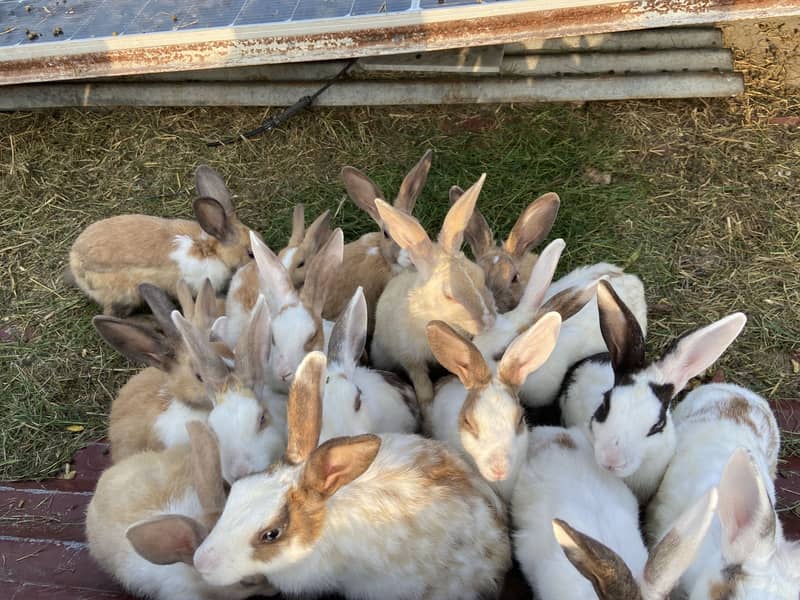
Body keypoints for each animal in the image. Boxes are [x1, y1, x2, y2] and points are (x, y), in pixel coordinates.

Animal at [370, 173, 497, 405]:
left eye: (481, 276)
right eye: (449, 296)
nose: (489, 322)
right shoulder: (410, 358)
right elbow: (422, 386)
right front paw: (427, 403)